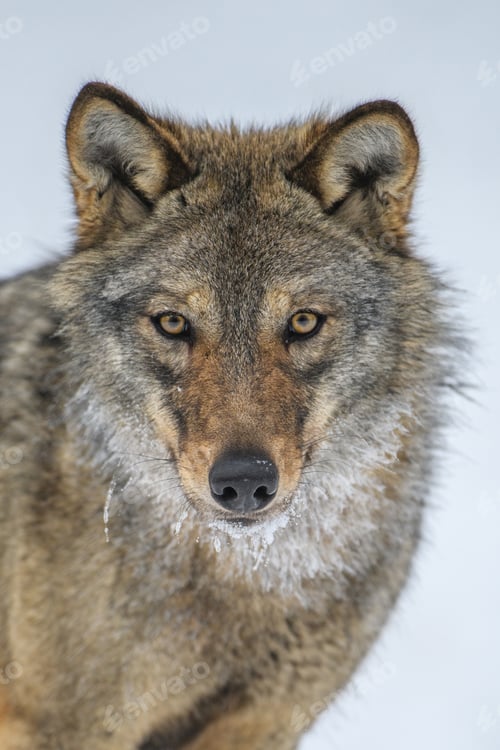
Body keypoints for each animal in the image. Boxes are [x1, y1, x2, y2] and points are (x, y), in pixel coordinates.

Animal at [0, 82, 459, 749]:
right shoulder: (70, 727)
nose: (243, 482)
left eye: (303, 322)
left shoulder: (265, 722)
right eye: (173, 323)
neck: (249, 577)